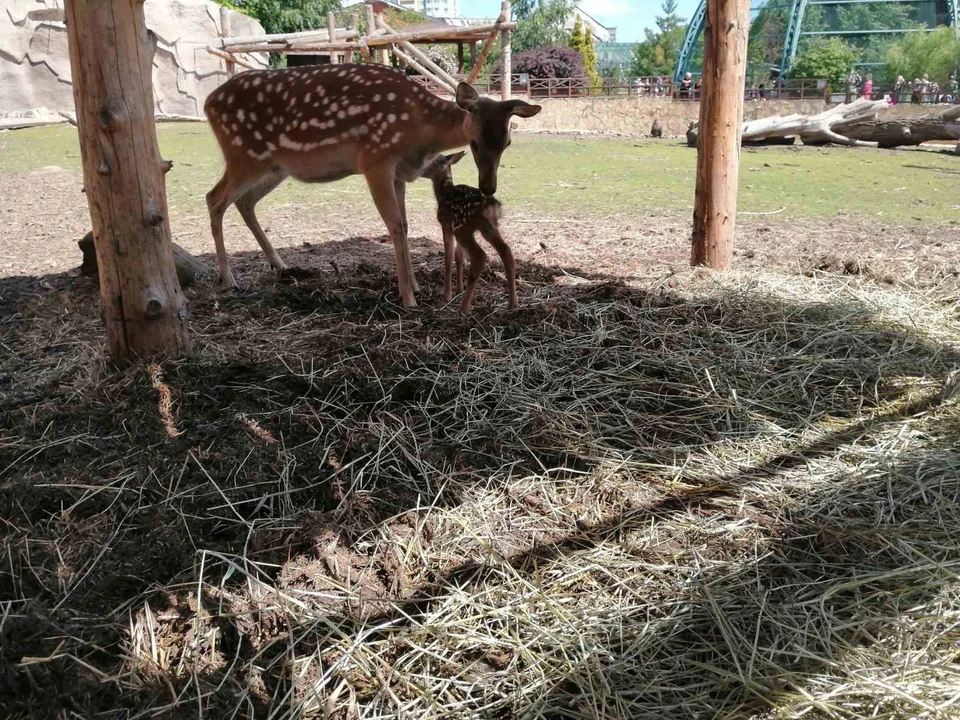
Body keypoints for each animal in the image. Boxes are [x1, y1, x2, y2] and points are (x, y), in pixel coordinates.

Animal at [202, 62, 540, 306]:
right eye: (475, 142)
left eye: (508, 142)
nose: (489, 188)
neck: (420, 129)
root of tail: (207, 103)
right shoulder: (376, 159)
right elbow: (395, 226)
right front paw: (408, 297)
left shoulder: (398, 172)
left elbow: (405, 224)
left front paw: (415, 285)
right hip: (243, 154)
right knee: (214, 197)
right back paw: (228, 278)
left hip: (274, 167)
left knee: (244, 201)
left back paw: (280, 265)